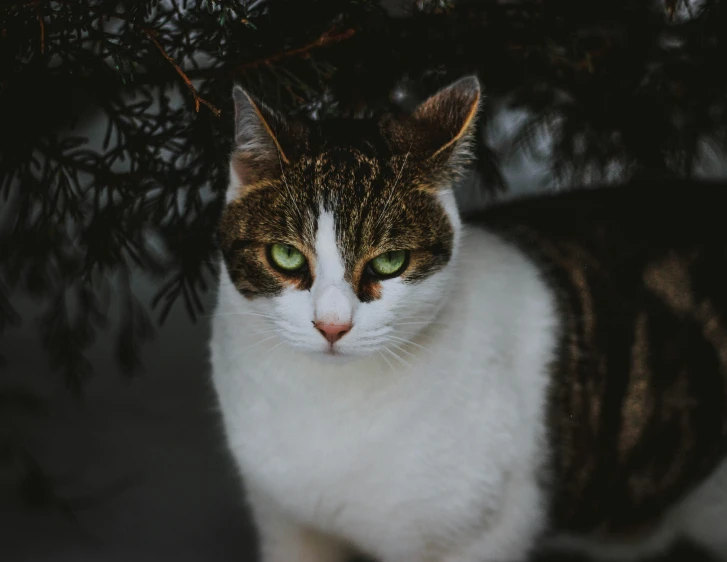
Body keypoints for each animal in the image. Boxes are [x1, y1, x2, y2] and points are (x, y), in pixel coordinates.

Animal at [208, 75, 724, 560]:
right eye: (286, 256)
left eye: (390, 262)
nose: (332, 325)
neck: (326, 406)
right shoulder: (284, 521)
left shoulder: (478, 539)